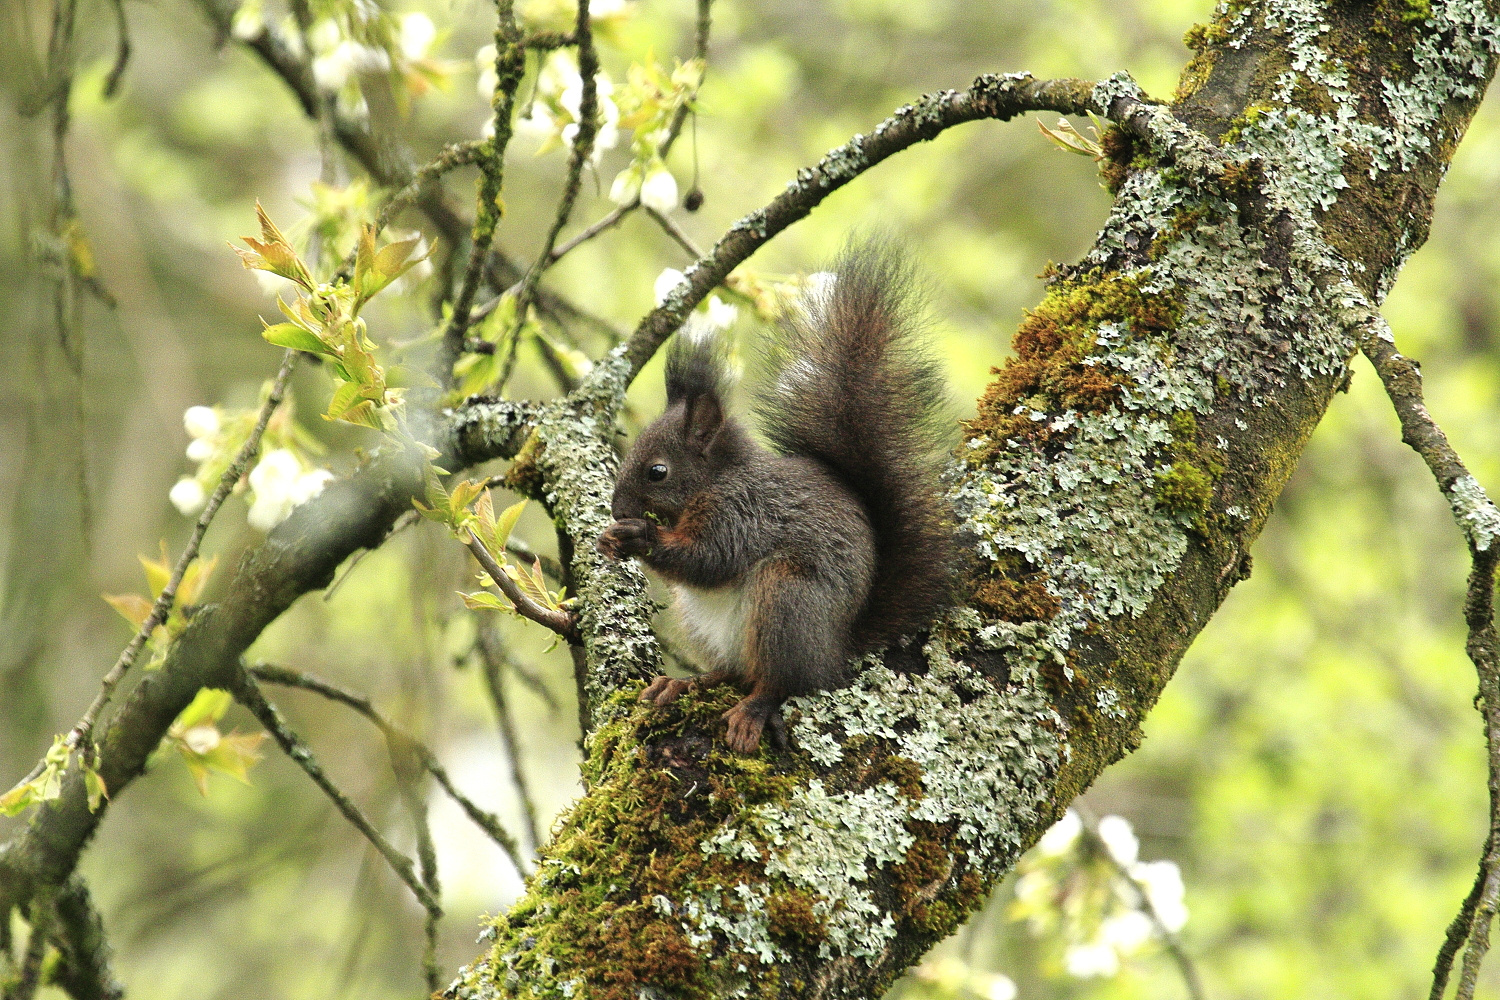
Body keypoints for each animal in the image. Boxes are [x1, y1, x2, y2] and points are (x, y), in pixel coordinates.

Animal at [591, 238, 954, 746]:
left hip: (787, 600)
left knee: (783, 682)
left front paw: (639, 535)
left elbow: (709, 559)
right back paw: (683, 683)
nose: (617, 508)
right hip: (703, 626)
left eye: (657, 472)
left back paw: (752, 710)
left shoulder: (743, 511)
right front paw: (611, 538)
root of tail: (836, 651)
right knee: (733, 671)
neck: (716, 480)